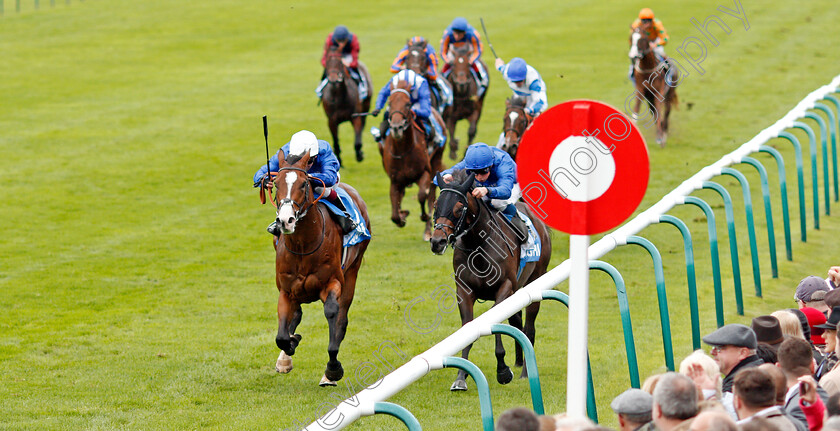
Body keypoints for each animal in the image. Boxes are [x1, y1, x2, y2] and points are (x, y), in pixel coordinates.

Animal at [270, 153, 370, 388]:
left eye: (304, 183)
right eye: (276, 183)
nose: (285, 221)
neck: (302, 245)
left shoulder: (332, 282)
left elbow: (334, 314)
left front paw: (333, 370)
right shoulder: (286, 290)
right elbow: (282, 335)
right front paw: (289, 348)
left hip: (353, 270)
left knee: (342, 317)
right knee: (296, 315)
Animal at [380, 78, 446, 240]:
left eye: (408, 104)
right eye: (389, 103)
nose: (396, 128)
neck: (403, 150)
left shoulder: (425, 173)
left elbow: (423, 196)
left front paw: (424, 216)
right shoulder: (395, 181)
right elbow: (394, 214)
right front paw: (402, 215)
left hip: (436, 160)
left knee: (431, 195)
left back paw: (428, 230)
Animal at [430, 171, 556, 392]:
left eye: (459, 208)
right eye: (436, 204)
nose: (437, 242)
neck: (479, 244)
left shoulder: (505, 288)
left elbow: (494, 323)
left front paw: (503, 371)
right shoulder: (464, 291)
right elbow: (468, 329)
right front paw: (461, 377)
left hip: (535, 282)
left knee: (529, 329)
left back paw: (525, 371)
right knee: (517, 324)